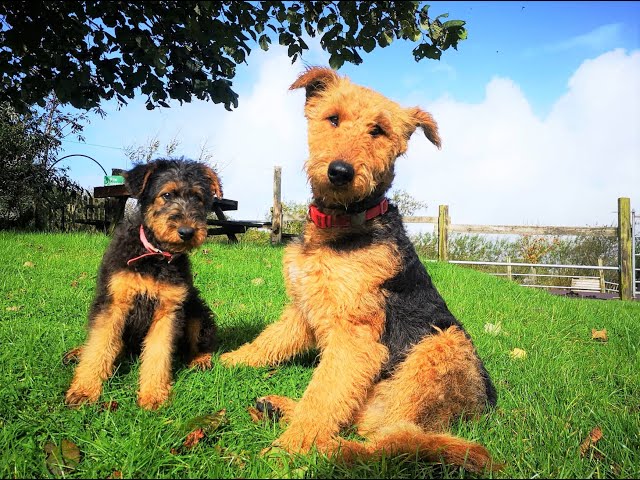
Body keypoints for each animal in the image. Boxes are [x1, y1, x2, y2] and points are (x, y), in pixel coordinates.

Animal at [67, 159, 222, 410]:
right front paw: (85, 390)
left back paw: (200, 359)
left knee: (200, 343)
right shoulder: (114, 302)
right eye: (166, 194)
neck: (154, 254)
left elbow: (158, 353)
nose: (187, 232)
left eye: (198, 198)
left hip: (196, 310)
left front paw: (154, 394)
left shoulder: (168, 310)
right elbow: (99, 345)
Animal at [222, 66, 498, 472]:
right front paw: (225, 360)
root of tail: (483, 412)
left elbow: (324, 398)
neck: (341, 223)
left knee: (388, 441)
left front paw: (285, 454)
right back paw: (278, 407)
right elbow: (267, 343)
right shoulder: (302, 308)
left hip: (437, 345)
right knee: (360, 420)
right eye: (333, 118)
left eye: (378, 130)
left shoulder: (354, 338)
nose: (340, 172)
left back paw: (324, 449)